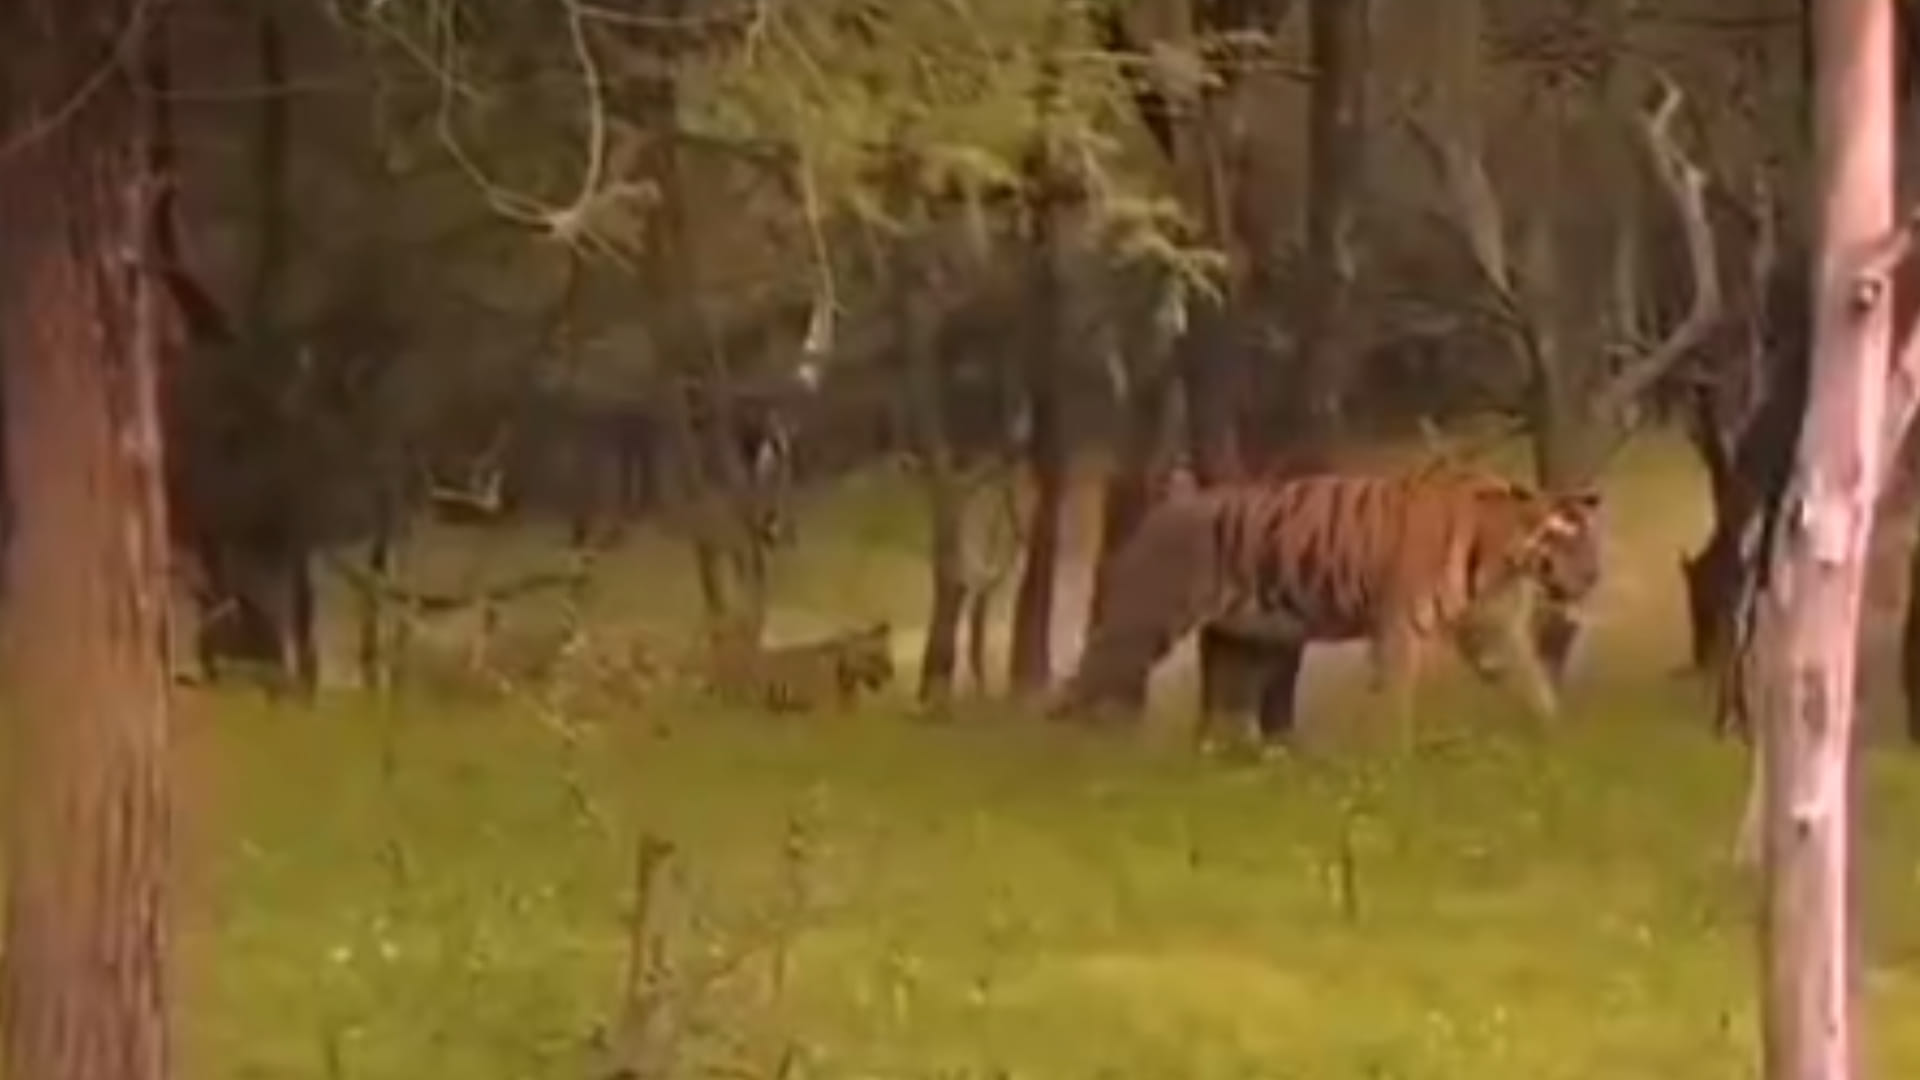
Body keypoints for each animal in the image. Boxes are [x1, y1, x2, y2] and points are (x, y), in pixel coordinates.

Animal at [1051, 462, 1604, 750]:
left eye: (1591, 542)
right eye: (1564, 540)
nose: (1594, 577)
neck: (1503, 556)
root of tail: (1157, 513)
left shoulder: (1492, 630)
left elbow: (1534, 686)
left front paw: (1559, 744)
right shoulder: (1398, 632)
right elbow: (1395, 705)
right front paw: (1397, 767)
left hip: (1245, 641)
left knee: (1229, 711)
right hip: (1143, 625)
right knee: (1084, 683)